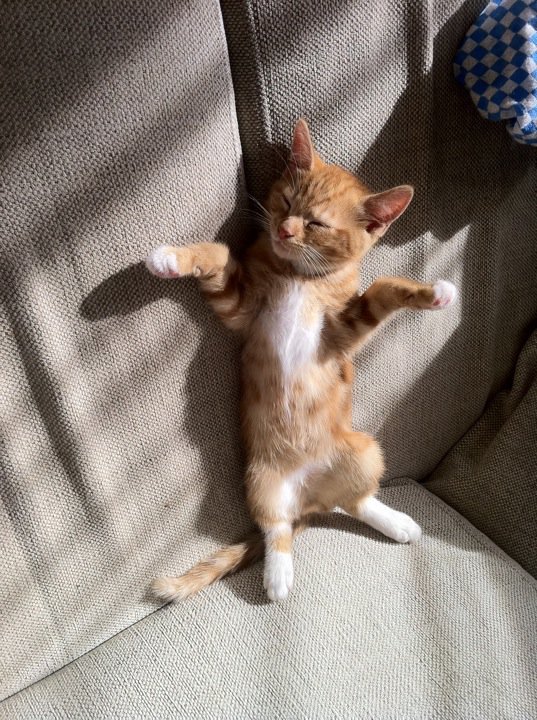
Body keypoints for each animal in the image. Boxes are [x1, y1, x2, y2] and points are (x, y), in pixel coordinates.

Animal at [146, 119, 457, 602]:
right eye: (287, 202)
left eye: (316, 224)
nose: (285, 230)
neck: (299, 277)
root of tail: (310, 497)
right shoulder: (240, 307)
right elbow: (216, 254)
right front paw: (171, 257)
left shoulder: (343, 332)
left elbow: (384, 289)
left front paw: (434, 292)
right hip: (260, 481)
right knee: (278, 527)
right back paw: (278, 574)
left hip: (364, 451)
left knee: (355, 501)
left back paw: (395, 522)